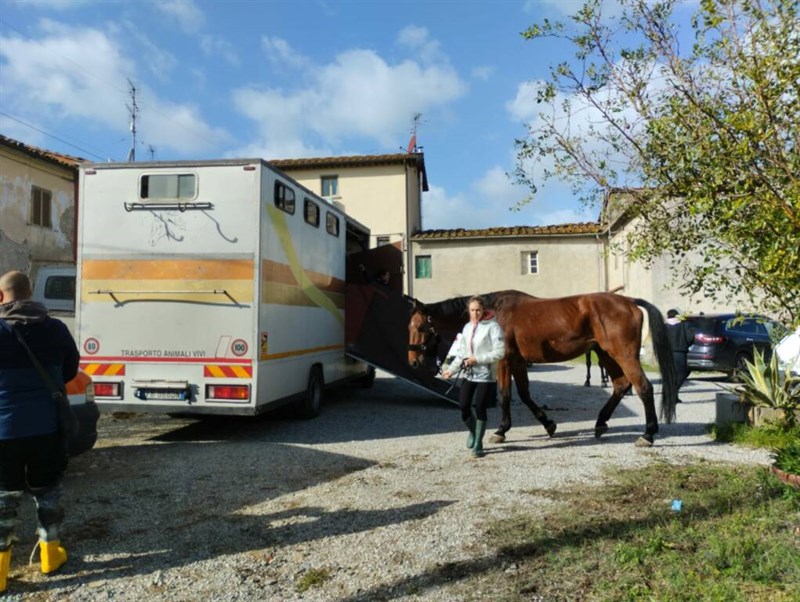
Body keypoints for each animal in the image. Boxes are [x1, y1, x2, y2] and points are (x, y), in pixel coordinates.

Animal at [406, 288, 676, 448]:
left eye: (420, 327)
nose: (413, 361)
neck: (493, 313)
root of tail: (629, 301)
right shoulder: (517, 362)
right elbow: (525, 394)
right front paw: (549, 424)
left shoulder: (505, 361)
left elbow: (506, 395)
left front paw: (501, 430)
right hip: (605, 354)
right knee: (621, 385)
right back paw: (600, 423)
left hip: (623, 354)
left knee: (643, 387)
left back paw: (648, 434)